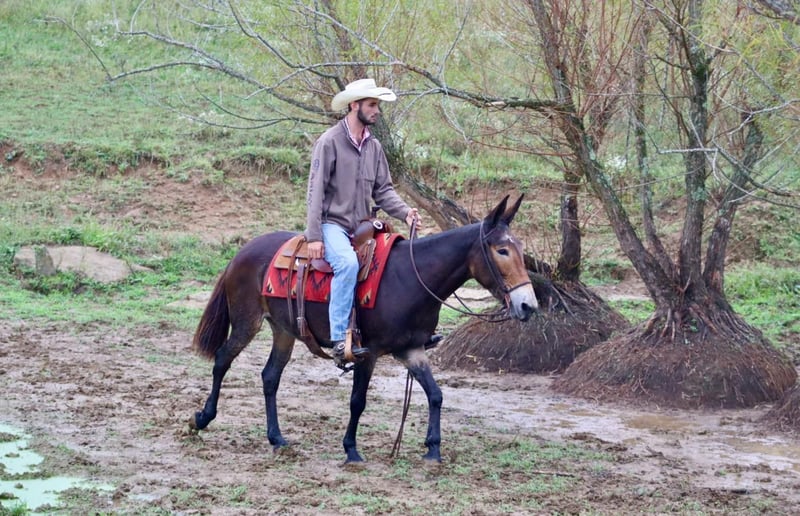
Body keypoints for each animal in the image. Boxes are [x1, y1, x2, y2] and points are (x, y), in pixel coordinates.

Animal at [190, 195, 538, 463]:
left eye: (520, 248)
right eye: (501, 250)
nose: (528, 305)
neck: (410, 278)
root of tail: (243, 252)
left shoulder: (411, 350)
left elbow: (436, 395)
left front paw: (433, 449)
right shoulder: (367, 352)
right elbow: (358, 400)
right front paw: (351, 450)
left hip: (284, 330)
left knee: (270, 377)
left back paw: (276, 438)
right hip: (246, 322)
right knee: (222, 360)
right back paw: (203, 418)